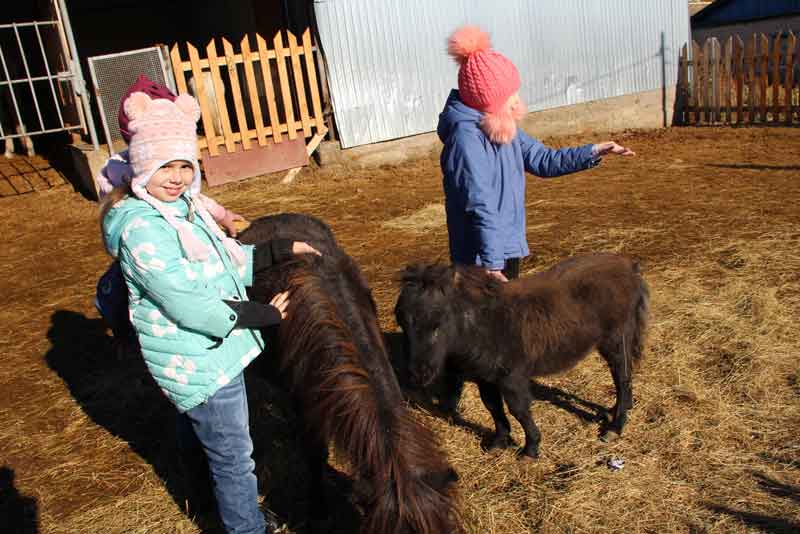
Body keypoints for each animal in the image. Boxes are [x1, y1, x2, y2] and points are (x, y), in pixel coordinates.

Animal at [394, 255, 648, 460]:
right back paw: (618, 409)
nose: (419, 374)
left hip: (616, 340)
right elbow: (493, 406)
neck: (486, 324)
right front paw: (499, 442)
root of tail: (630, 267)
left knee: (622, 377)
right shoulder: (485, 377)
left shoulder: (512, 377)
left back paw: (615, 427)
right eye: (402, 321)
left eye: (439, 321)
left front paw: (530, 449)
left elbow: (519, 410)